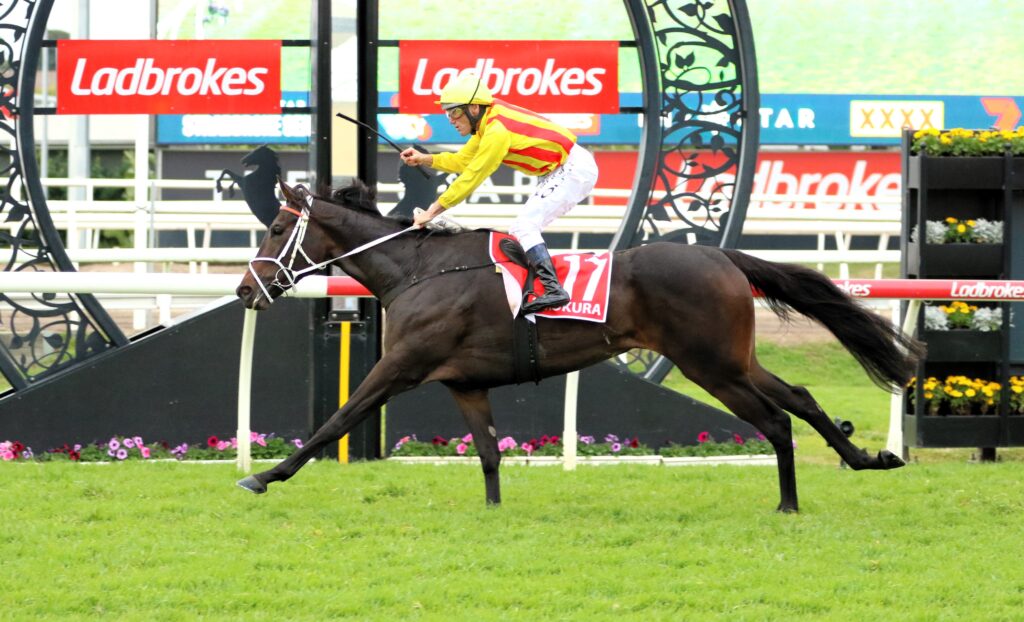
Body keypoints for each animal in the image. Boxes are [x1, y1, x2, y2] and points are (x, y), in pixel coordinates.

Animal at [234, 179, 924, 513]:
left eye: (275, 226)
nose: (245, 288)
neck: (418, 270)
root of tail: (723, 256)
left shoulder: (402, 365)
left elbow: (336, 420)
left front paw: (264, 476)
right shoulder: (465, 382)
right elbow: (489, 453)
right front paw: (493, 512)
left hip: (710, 365)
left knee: (777, 421)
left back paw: (787, 504)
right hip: (734, 358)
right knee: (801, 398)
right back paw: (869, 458)